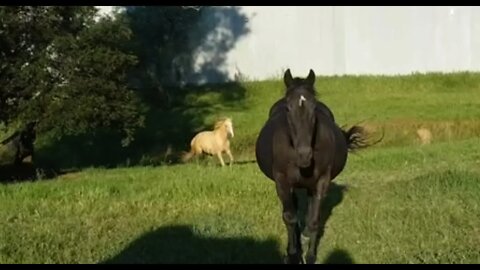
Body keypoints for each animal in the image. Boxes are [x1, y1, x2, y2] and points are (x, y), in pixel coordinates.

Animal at [256, 69, 370, 264]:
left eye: (314, 108)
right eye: (288, 108)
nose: (304, 155)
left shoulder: (321, 182)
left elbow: (315, 220)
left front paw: (310, 256)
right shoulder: (282, 182)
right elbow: (289, 217)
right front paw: (293, 254)